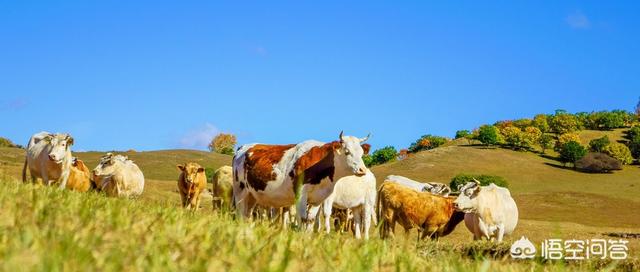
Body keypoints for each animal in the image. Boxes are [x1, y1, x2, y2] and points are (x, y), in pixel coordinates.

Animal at [232, 131, 368, 227]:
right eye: (347, 151)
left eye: (362, 153)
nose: (362, 170)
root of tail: (242, 148)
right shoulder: (300, 195)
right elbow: (302, 219)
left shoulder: (318, 199)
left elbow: (310, 220)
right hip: (240, 191)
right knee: (240, 213)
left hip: (252, 195)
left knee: (247, 215)